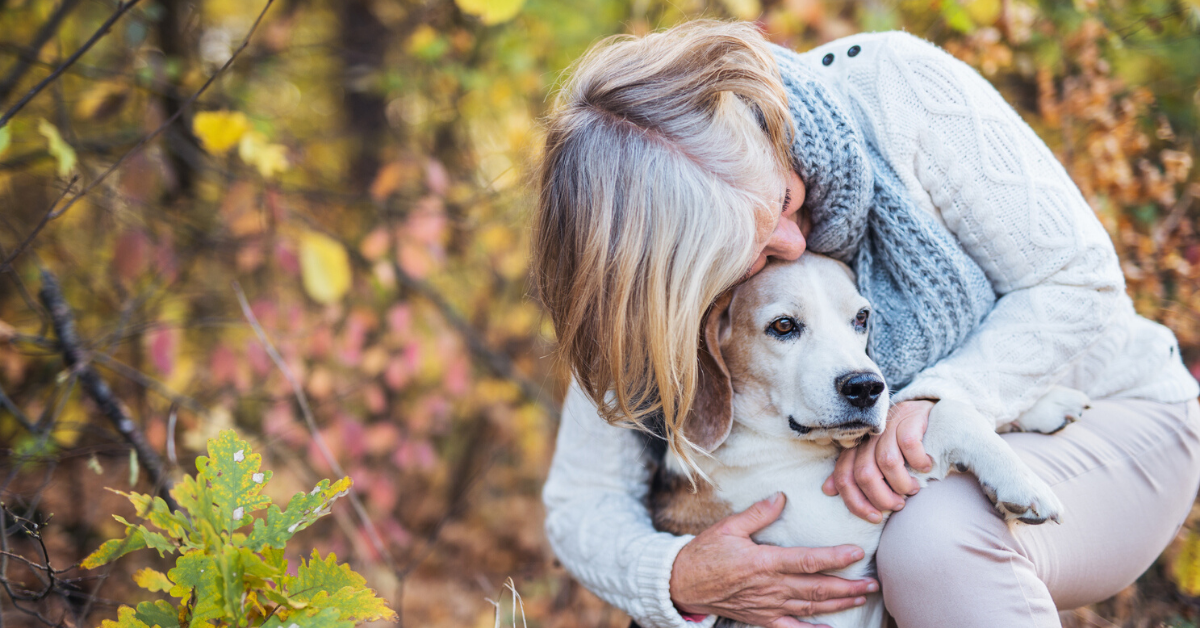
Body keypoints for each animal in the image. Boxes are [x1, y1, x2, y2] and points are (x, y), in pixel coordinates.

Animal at [648, 254, 1089, 628]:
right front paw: (1022, 483)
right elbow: (951, 414)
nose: (865, 387)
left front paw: (1046, 404)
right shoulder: (835, 537)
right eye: (783, 326)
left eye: (861, 318)